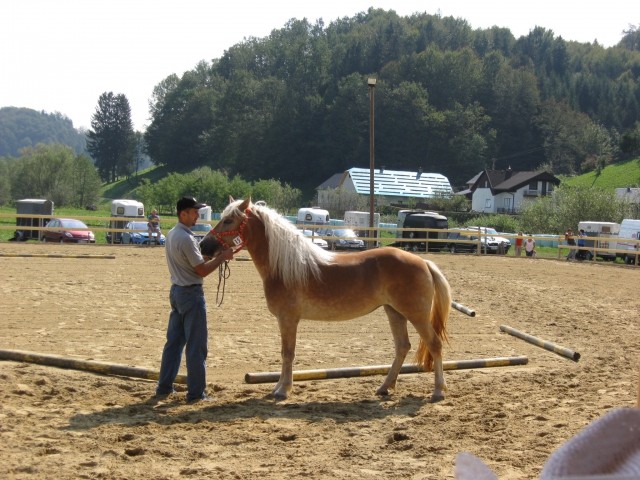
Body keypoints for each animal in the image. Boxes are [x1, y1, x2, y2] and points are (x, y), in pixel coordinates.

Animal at [202, 198, 452, 402]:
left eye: (229, 220)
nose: (204, 246)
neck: (283, 266)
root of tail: (423, 262)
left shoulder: (288, 319)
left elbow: (288, 353)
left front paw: (283, 390)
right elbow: (285, 353)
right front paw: (278, 387)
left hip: (416, 315)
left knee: (434, 344)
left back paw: (438, 391)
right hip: (394, 312)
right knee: (402, 346)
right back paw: (384, 387)